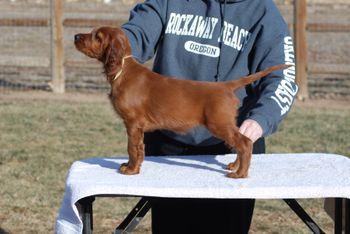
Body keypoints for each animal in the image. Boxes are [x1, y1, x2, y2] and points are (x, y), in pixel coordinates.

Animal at [74, 26, 290, 178]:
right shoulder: (137, 127)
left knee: (244, 143)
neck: (122, 69)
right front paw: (132, 166)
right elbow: (139, 149)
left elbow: (132, 148)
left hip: (218, 123)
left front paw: (131, 170)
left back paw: (240, 174)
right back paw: (235, 166)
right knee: (240, 142)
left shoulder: (133, 123)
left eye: (97, 36)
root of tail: (226, 86)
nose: (75, 36)